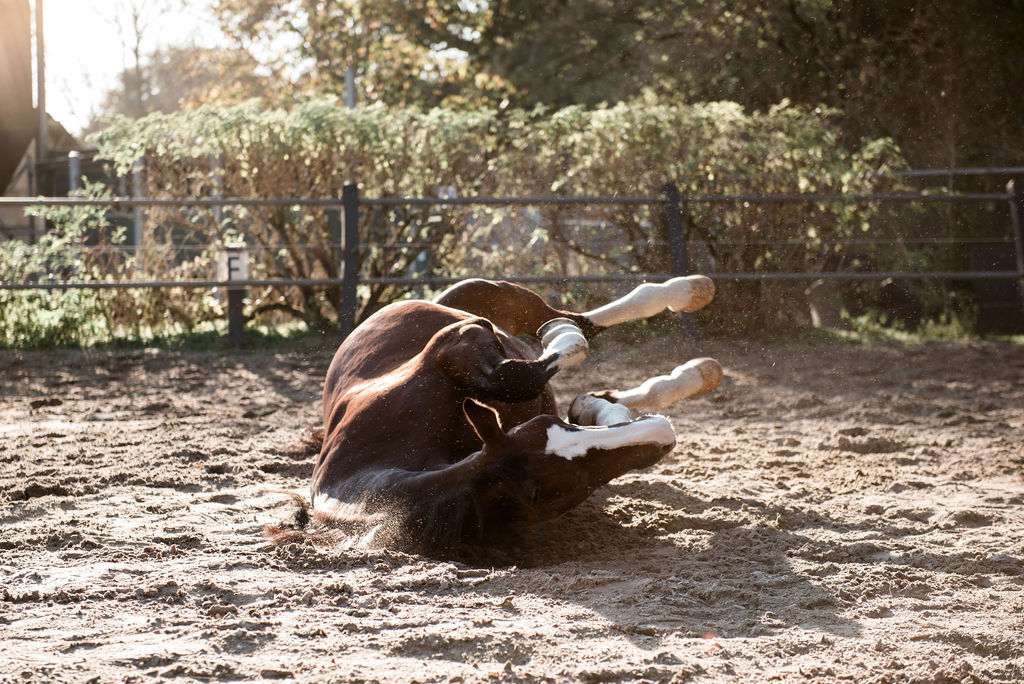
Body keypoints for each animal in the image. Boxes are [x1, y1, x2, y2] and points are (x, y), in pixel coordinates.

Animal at [272, 274, 720, 552]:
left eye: (544, 426)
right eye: (565, 487)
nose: (661, 437)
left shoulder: (457, 342)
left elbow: (514, 376)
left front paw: (562, 341)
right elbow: (542, 385)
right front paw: (601, 407)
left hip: (487, 294)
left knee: (577, 320)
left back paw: (687, 293)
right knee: (584, 355)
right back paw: (686, 375)